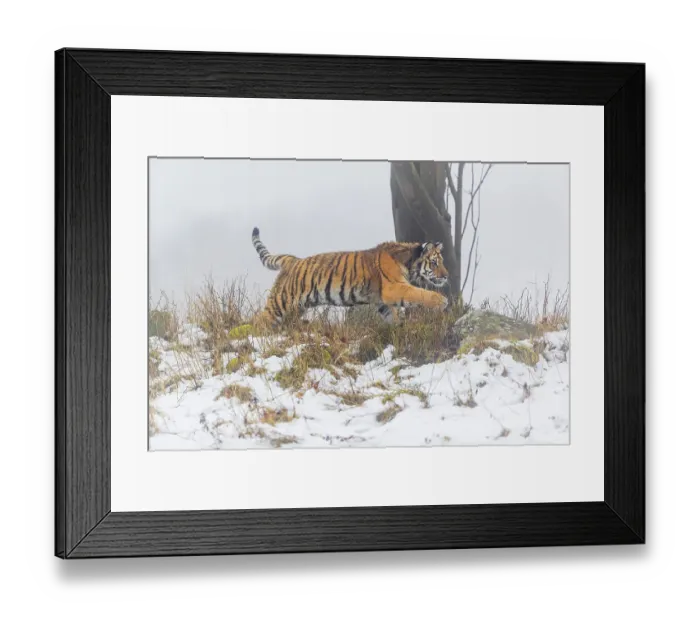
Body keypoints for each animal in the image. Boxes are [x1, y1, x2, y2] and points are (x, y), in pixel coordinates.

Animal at [251, 227, 449, 327]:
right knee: (259, 321)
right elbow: (419, 293)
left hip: (296, 308)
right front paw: (442, 301)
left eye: (441, 261)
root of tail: (292, 260)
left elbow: (392, 315)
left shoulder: (381, 300)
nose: (447, 276)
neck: (408, 262)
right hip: (280, 304)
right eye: (434, 263)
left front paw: (399, 328)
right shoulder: (394, 287)